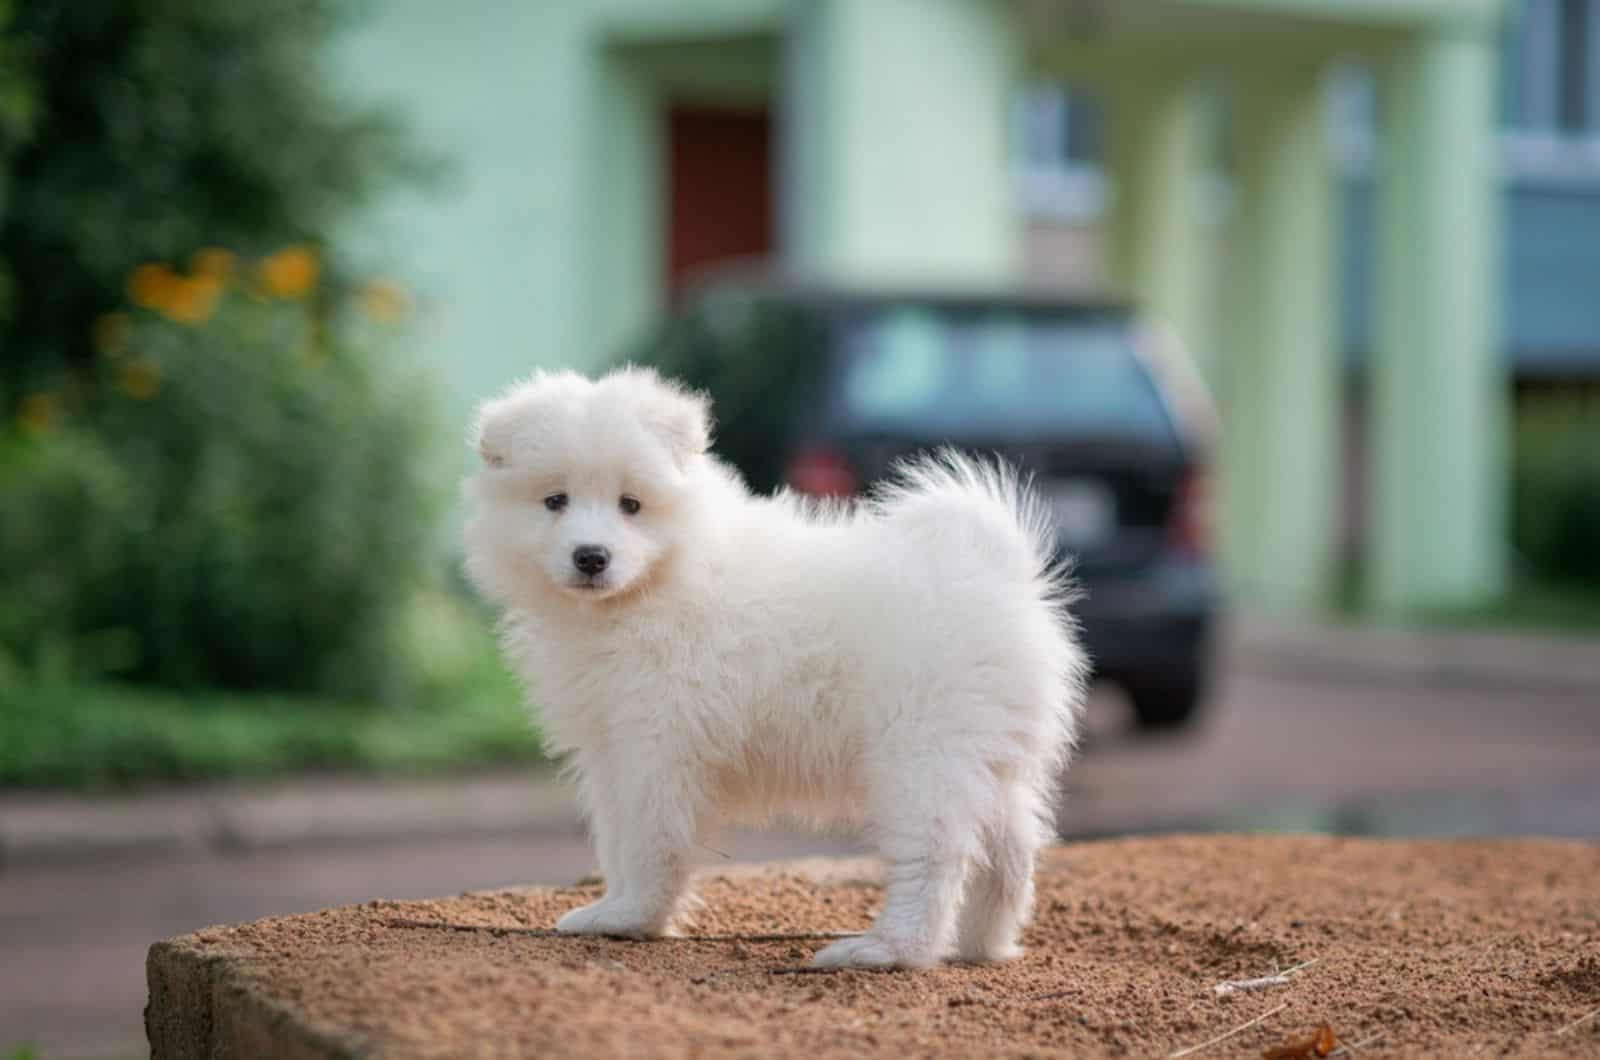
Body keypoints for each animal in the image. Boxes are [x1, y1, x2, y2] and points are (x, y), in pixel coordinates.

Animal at [464, 368, 1088, 973]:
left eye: (631, 504)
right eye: (555, 500)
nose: (591, 557)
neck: (656, 585)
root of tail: (997, 570)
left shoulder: (658, 744)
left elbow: (646, 840)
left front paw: (633, 916)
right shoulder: (609, 746)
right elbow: (615, 836)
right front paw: (612, 913)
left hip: (923, 751)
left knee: (934, 856)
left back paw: (886, 950)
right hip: (990, 754)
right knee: (1010, 850)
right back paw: (982, 944)